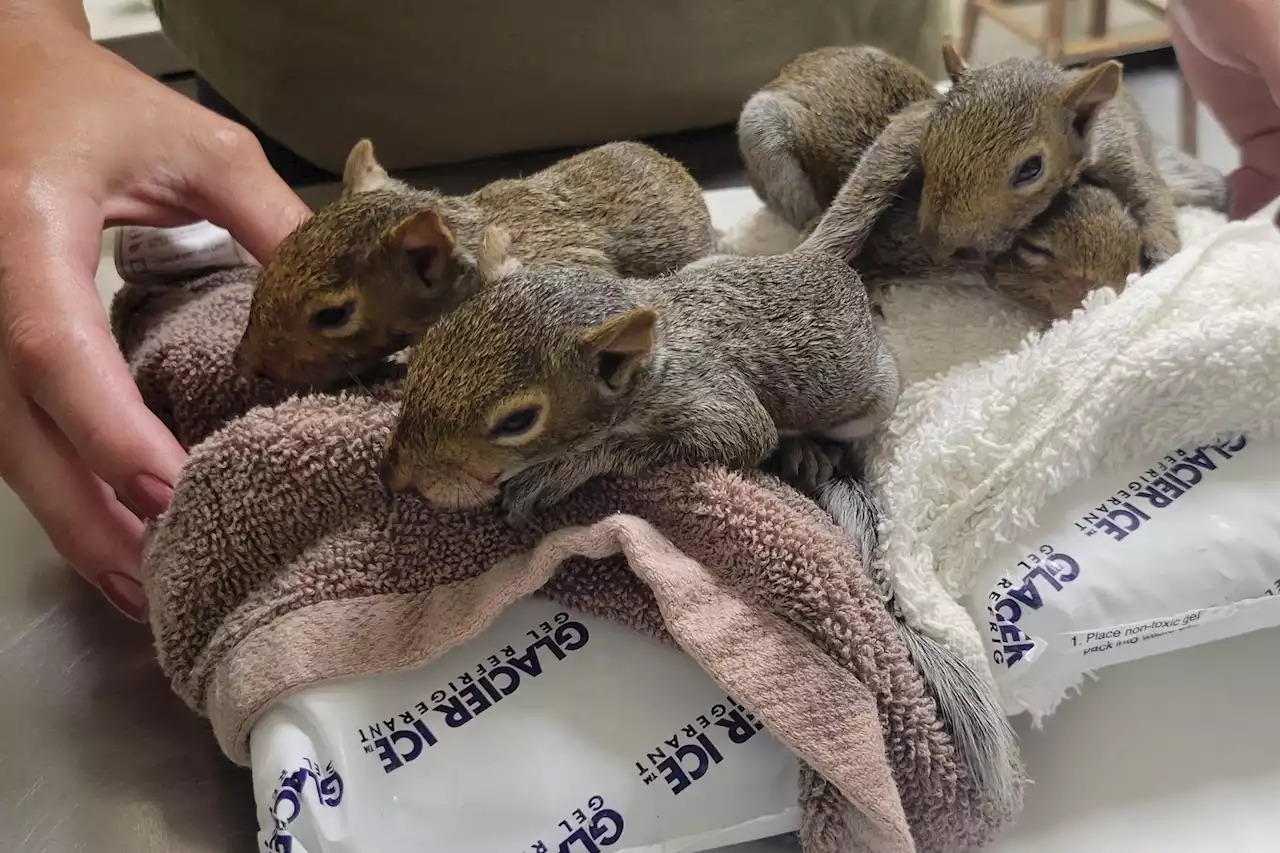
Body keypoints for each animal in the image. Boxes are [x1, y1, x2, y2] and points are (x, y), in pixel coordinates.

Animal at [378, 229, 901, 517]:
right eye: (432, 340)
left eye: (517, 422)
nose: (394, 480)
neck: (653, 363)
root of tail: (826, 261)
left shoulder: (711, 398)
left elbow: (743, 436)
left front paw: (551, 474)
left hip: (874, 397)